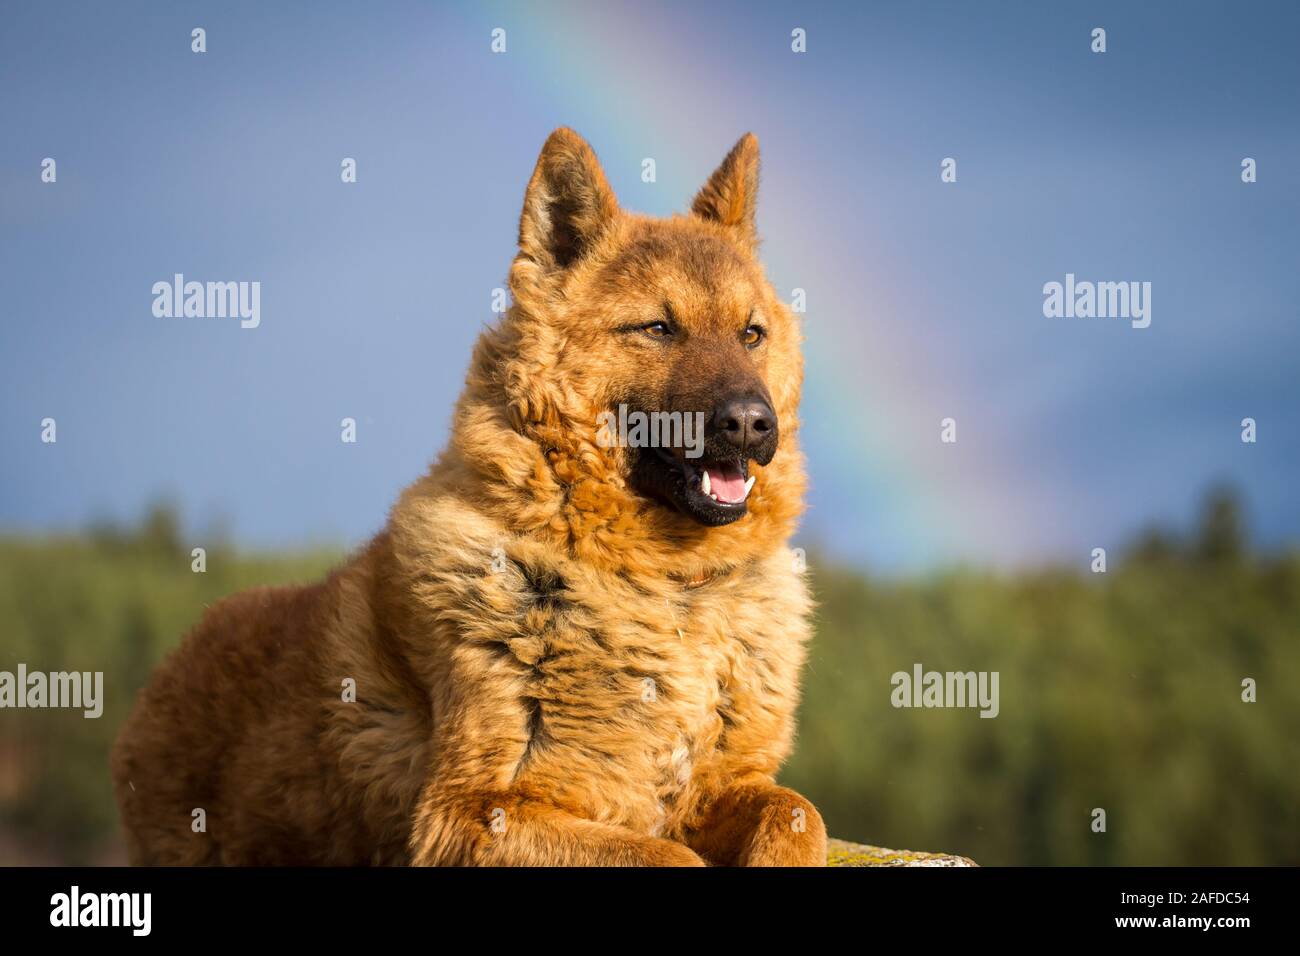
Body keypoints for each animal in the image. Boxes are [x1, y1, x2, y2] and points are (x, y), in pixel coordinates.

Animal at [109, 127, 821, 868]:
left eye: (751, 334)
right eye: (657, 329)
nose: (753, 424)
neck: (666, 588)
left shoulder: (724, 788)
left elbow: (798, 813)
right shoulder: (470, 814)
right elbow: (671, 857)